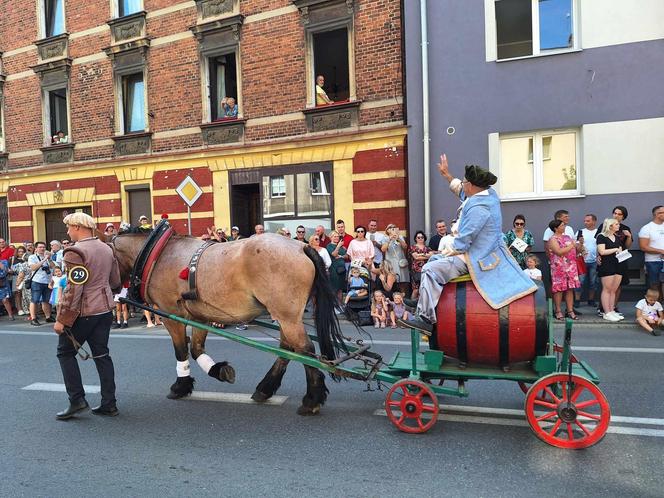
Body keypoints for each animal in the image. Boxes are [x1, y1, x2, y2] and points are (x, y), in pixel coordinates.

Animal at [111, 231, 344, 414]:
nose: (114, 291)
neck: (159, 255)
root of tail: (302, 247)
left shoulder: (170, 314)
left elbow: (181, 351)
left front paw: (180, 386)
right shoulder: (200, 316)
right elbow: (196, 349)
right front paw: (219, 370)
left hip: (287, 316)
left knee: (305, 349)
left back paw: (312, 400)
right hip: (285, 316)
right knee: (288, 349)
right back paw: (265, 388)